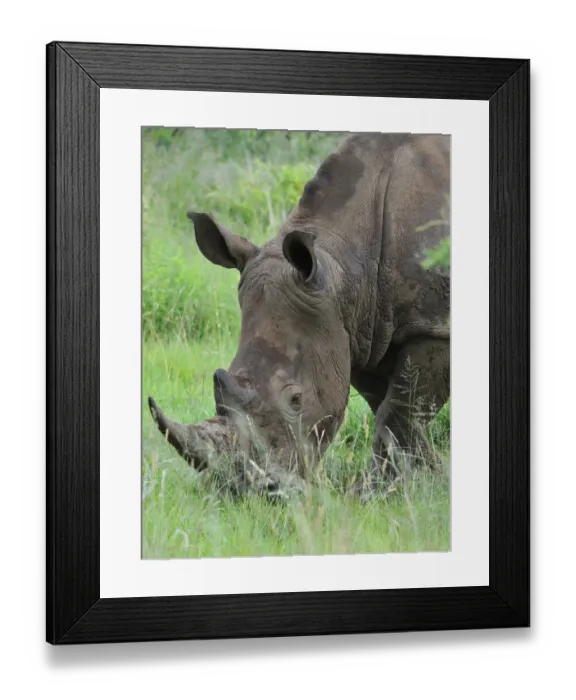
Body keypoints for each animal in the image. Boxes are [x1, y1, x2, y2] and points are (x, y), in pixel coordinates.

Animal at [148, 132, 450, 496]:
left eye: (295, 399)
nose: (243, 491)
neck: (345, 267)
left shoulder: (434, 327)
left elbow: (399, 413)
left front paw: (376, 493)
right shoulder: (364, 330)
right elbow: (390, 408)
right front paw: (429, 479)